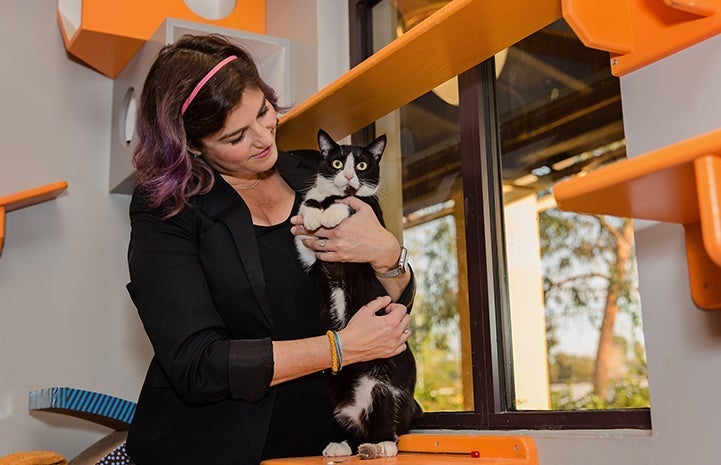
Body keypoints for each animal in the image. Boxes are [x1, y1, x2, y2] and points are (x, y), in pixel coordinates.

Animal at [292, 130, 420, 456]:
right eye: (337, 162)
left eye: (362, 165)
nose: (350, 176)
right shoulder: (311, 258)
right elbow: (308, 209)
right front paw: (313, 213)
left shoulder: (372, 218)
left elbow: (353, 204)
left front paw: (333, 212)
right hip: (337, 394)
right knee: (357, 425)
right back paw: (344, 446)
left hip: (385, 386)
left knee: (389, 423)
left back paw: (382, 446)